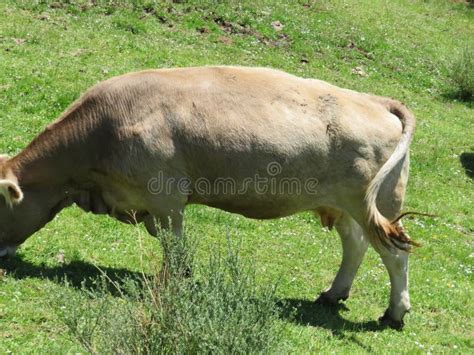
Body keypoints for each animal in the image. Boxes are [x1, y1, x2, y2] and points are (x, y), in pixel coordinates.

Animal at [0, 66, 416, 328]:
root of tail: (375, 100)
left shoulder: (165, 197)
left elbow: (172, 242)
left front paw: (171, 282)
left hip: (374, 206)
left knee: (394, 256)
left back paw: (394, 313)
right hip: (346, 207)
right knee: (356, 245)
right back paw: (334, 293)